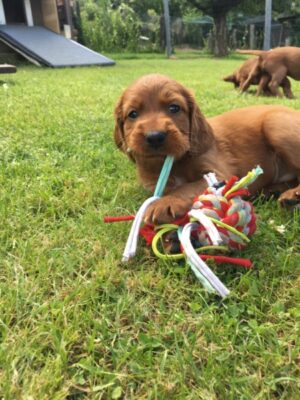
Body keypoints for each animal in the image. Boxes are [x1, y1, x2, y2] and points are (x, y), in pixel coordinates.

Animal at [114, 74, 300, 223]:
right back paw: (273, 191)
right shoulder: (153, 183)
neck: (175, 161)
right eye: (133, 114)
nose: (154, 136)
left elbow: (186, 187)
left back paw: (292, 196)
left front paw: (165, 203)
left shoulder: (219, 174)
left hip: (275, 125)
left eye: (174, 107)